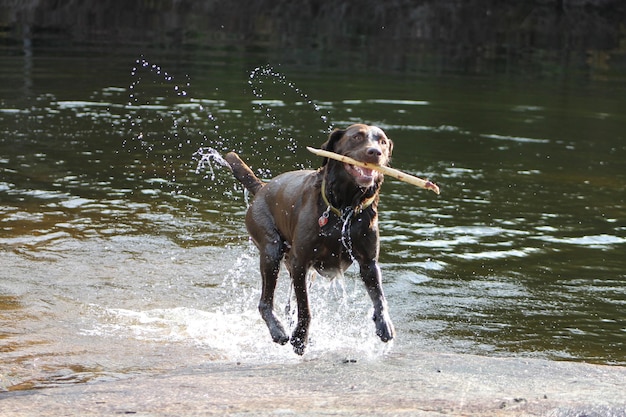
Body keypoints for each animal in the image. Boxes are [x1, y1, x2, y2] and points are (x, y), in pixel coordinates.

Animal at [222, 123, 392, 354]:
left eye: (382, 141)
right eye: (357, 137)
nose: (375, 152)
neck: (344, 206)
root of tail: (262, 187)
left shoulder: (368, 262)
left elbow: (379, 296)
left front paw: (384, 324)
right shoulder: (300, 262)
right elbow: (306, 307)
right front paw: (300, 338)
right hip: (271, 248)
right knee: (265, 302)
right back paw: (278, 331)